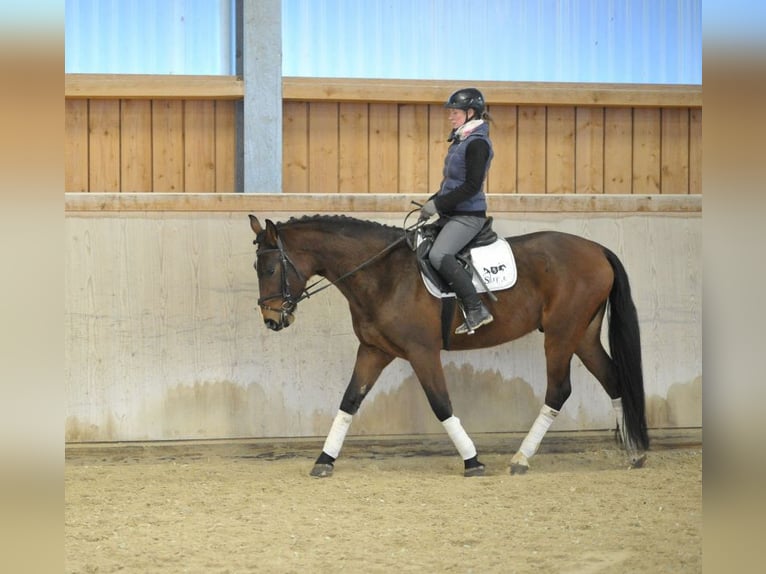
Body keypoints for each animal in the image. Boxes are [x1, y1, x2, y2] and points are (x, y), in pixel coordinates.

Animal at [250, 214, 648, 480]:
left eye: (269, 269)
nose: (271, 320)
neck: (384, 274)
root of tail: (597, 249)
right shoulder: (374, 350)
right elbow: (349, 401)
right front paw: (324, 460)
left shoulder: (422, 352)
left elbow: (440, 403)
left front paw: (473, 461)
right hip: (583, 334)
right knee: (613, 380)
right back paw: (635, 452)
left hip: (561, 334)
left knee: (559, 390)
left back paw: (521, 458)